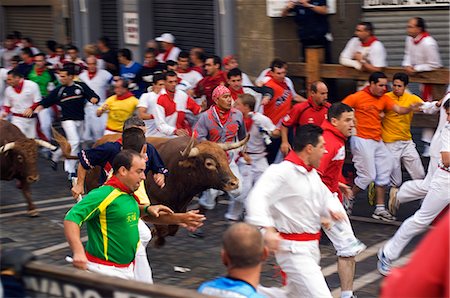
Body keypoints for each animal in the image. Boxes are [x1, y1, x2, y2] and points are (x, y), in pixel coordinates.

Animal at [55, 132, 250, 246]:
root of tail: (97, 143)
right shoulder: (156, 202)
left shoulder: (180, 206)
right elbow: (163, 228)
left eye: (225, 157)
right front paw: (156, 236)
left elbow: (172, 227)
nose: (234, 182)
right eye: (209, 163)